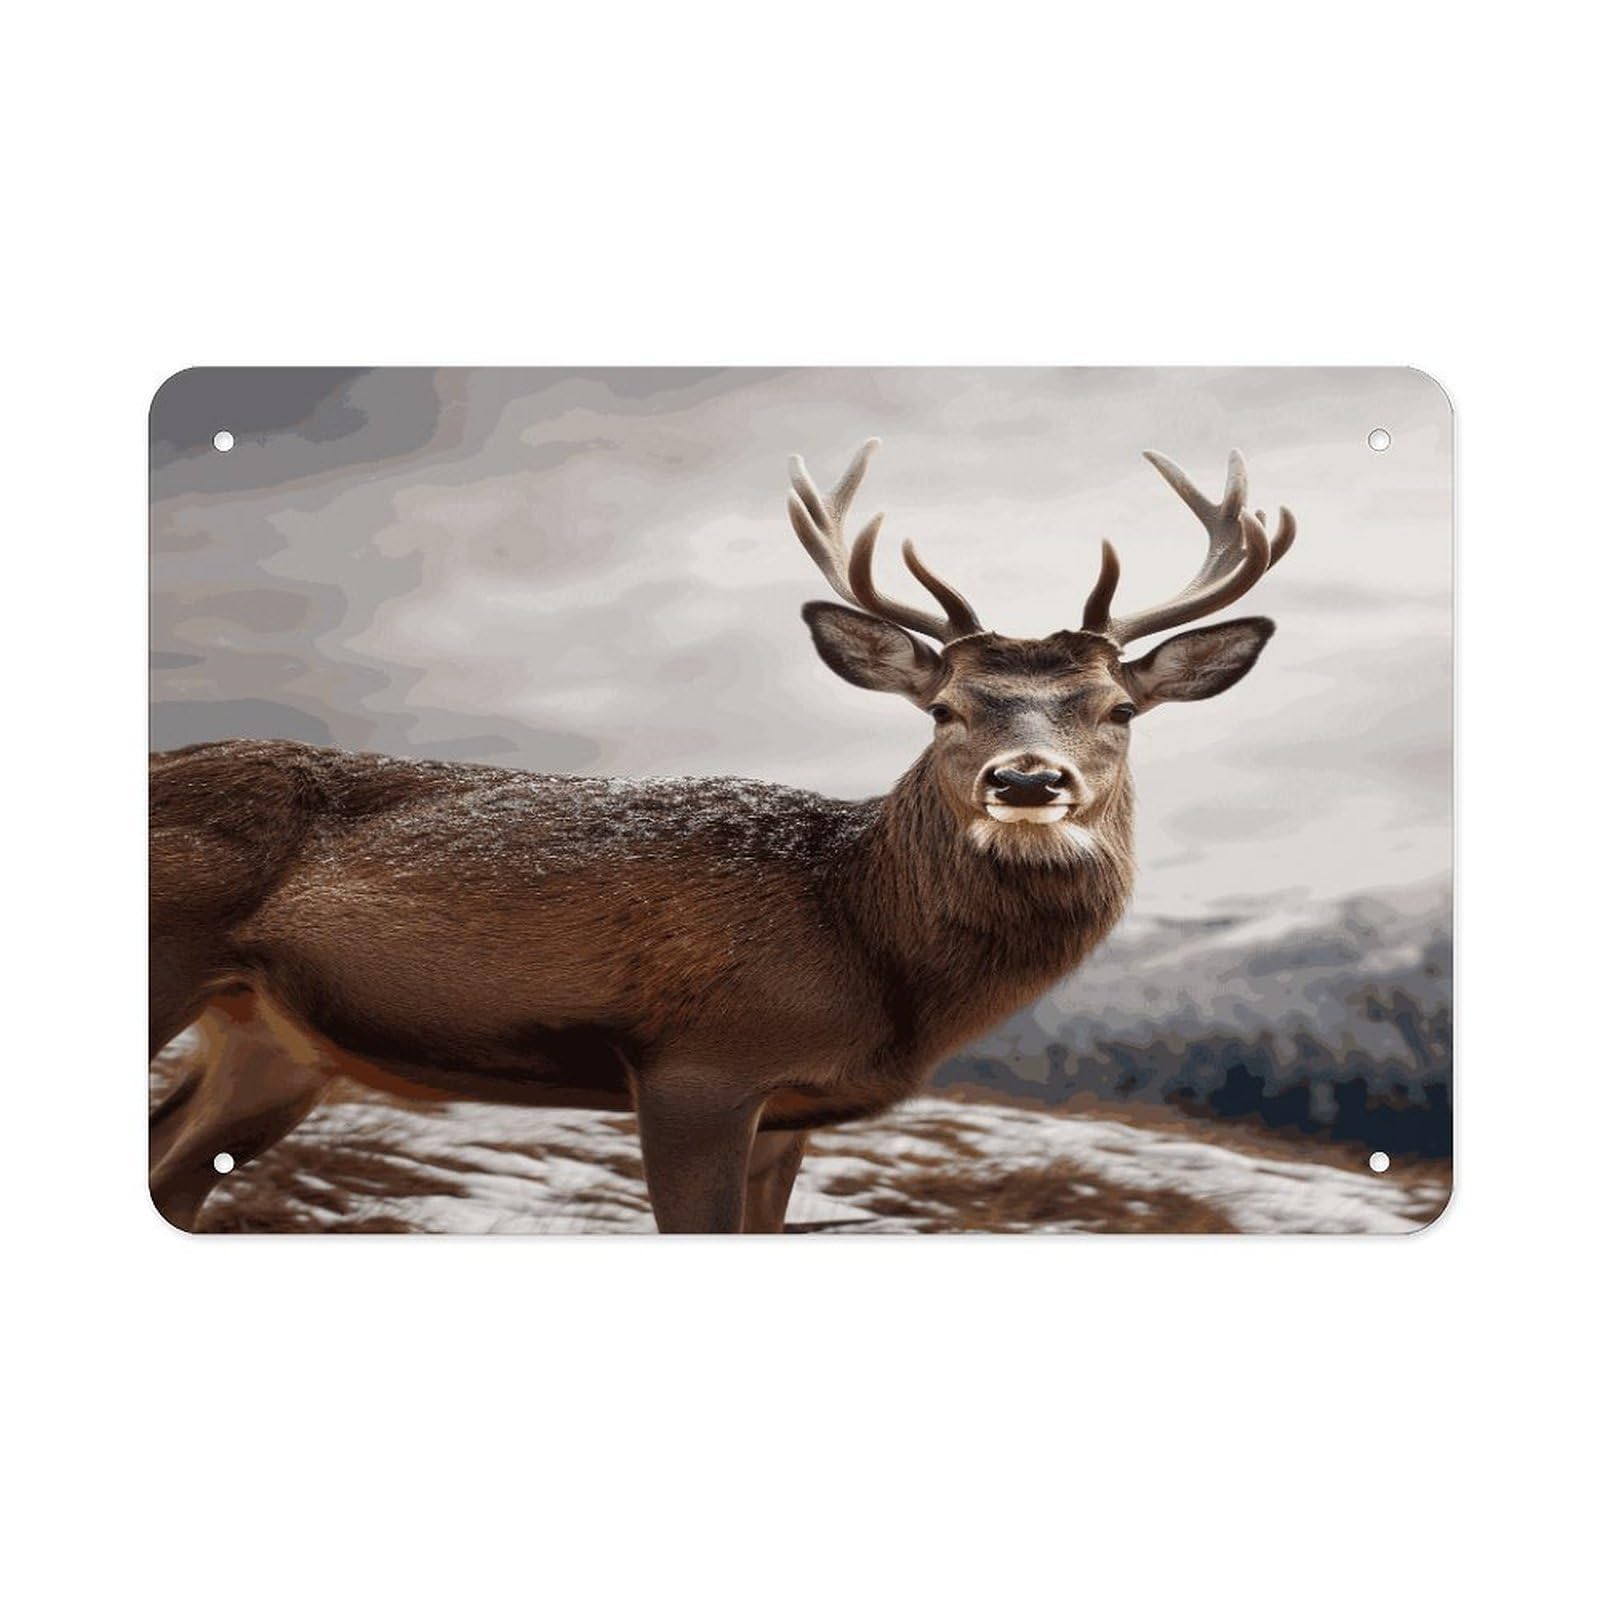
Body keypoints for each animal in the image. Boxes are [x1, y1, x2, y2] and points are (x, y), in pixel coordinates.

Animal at [149, 440, 1295, 1233]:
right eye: (944, 708)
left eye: (1120, 708)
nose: (1025, 779)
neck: (863, 946)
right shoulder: (698, 1064)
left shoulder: (787, 1110)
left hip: (273, 1039)